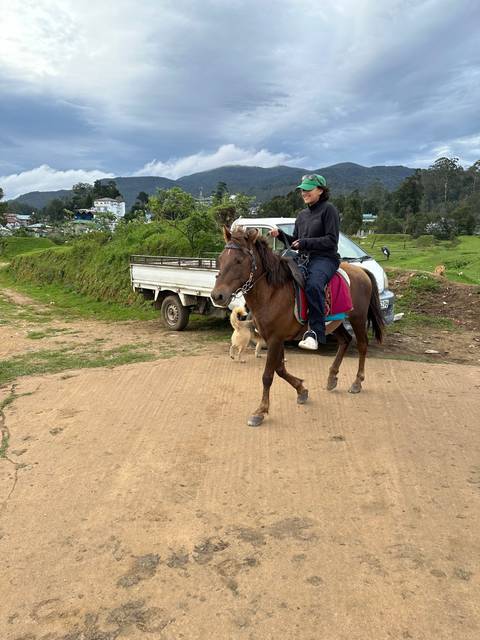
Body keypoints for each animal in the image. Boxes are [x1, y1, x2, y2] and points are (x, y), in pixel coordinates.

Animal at [211, 226, 385, 427]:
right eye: (220, 259)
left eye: (239, 260)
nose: (217, 296)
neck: (273, 292)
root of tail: (361, 270)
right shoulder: (275, 339)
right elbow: (280, 370)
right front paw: (301, 390)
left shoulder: (275, 339)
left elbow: (268, 375)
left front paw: (260, 411)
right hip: (335, 322)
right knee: (346, 340)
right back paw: (332, 377)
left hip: (357, 318)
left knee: (362, 345)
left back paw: (357, 382)